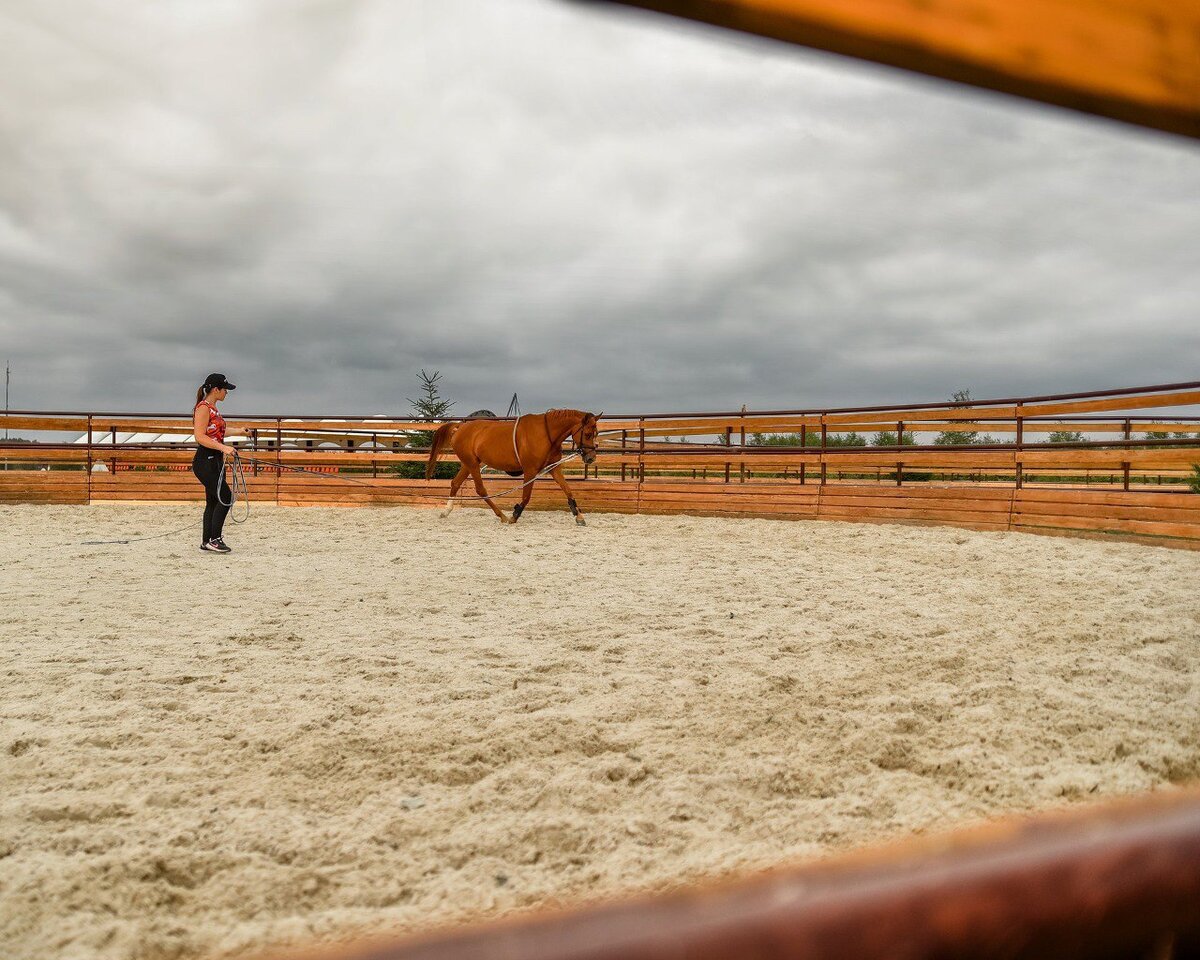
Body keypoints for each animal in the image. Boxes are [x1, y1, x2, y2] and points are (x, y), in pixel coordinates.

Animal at [429, 408, 604, 525]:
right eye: (588, 434)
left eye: (596, 434)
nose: (591, 458)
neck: (546, 435)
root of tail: (460, 427)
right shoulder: (530, 471)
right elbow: (526, 497)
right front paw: (515, 514)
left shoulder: (553, 468)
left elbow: (568, 490)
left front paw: (578, 516)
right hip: (472, 464)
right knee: (480, 490)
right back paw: (502, 515)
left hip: (469, 464)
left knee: (455, 483)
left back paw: (446, 511)